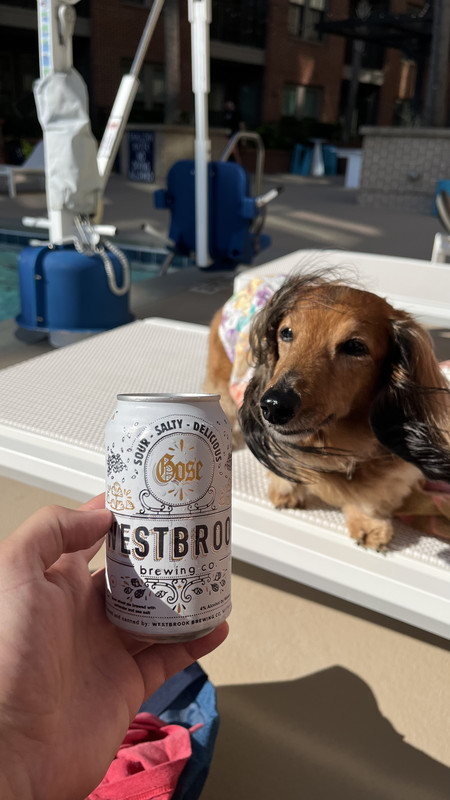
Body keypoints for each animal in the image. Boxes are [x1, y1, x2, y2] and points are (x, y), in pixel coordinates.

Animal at [204, 271, 450, 550]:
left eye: (355, 347)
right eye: (286, 332)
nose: (273, 406)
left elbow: (371, 499)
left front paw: (369, 525)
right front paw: (286, 492)